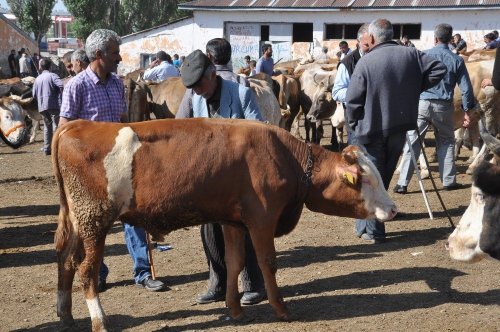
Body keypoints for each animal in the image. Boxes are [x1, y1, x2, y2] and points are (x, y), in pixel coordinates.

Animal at [53, 118, 398, 330]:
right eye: (365, 179)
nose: (392, 209)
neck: (287, 157)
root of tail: (76, 124)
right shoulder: (262, 219)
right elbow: (267, 261)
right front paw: (281, 309)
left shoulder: (232, 221)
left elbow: (234, 263)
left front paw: (235, 309)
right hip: (95, 220)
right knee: (86, 271)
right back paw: (99, 321)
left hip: (77, 220)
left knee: (66, 261)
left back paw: (66, 315)